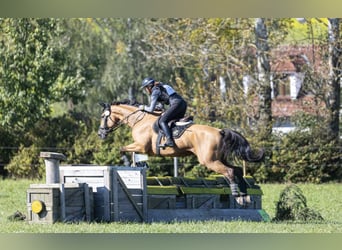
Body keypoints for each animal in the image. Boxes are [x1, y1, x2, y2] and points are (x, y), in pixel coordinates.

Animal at [97, 99, 264, 207]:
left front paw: (129, 163)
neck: (140, 120)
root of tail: (220, 131)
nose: (100, 134)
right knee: (237, 170)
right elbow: (130, 153)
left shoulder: (141, 146)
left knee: (229, 172)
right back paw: (245, 196)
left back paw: (237, 196)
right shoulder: (140, 147)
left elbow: (122, 149)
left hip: (209, 161)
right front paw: (136, 165)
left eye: (103, 117)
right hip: (219, 158)